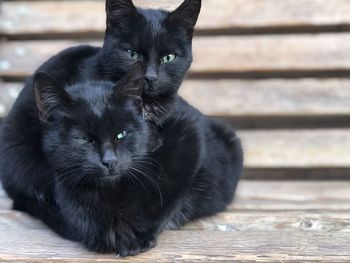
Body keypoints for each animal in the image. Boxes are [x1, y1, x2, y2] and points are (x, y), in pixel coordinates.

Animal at [0, 64, 242, 256]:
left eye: (121, 134)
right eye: (84, 139)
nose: (109, 161)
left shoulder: (190, 136)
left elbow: (167, 202)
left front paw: (137, 236)